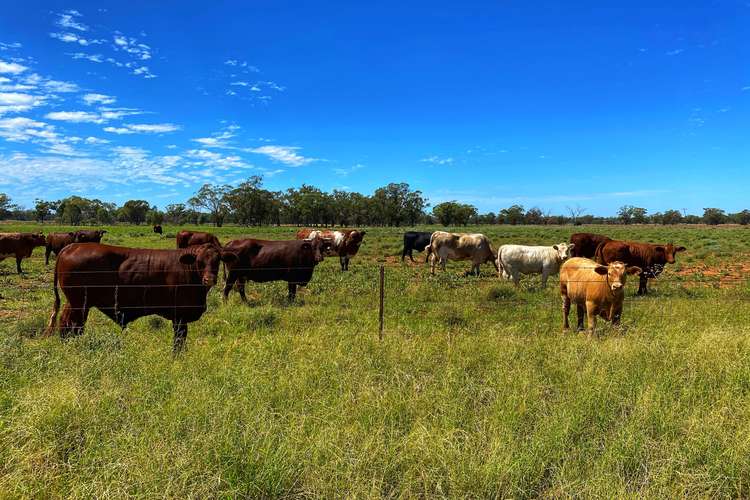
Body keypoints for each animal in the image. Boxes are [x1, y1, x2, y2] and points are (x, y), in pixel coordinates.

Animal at [44, 242, 238, 352]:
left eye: (217, 260)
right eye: (199, 261)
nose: (209, 279)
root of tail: (71, 246)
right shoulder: (180, 316)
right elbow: (179, 341)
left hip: (77, 303)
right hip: (78, 303)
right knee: (69, 324)